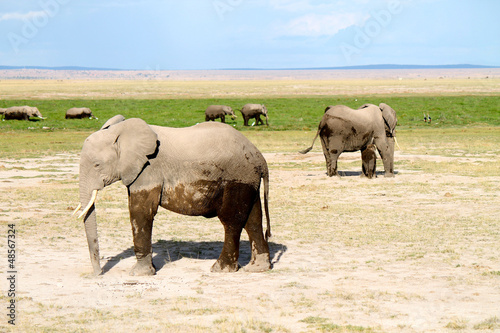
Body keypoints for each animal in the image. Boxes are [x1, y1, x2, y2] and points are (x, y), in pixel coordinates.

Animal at [72, 115, 272, 276]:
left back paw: (220, 269)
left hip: (236, 179)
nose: (98, 274)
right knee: (253, 220)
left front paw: (138, 274)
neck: (121, 132)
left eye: (97, 165)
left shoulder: (149, 170)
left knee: (232, 222)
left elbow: (140, 212)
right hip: (249, 180)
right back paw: (257, 268)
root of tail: (260, 158)